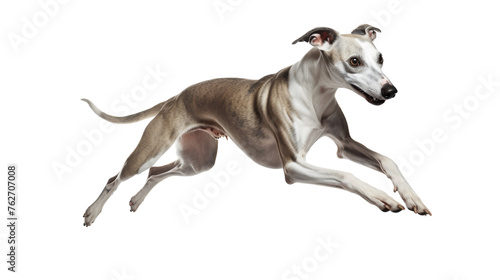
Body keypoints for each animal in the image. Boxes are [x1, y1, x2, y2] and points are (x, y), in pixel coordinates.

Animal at [81, 24, 430, 228]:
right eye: (354, 61)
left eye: (381, 58)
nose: (391, 91)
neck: (315, 94)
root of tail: (176, 96)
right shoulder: (293, 166)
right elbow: (345, 175)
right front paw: (381, 197)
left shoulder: (344, 144)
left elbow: (387, 160)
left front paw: (412, 197)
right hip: (149, 151)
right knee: (115, 178)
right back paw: (92, 212)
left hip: (198, 161)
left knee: (156, 173)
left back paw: (137, 200)